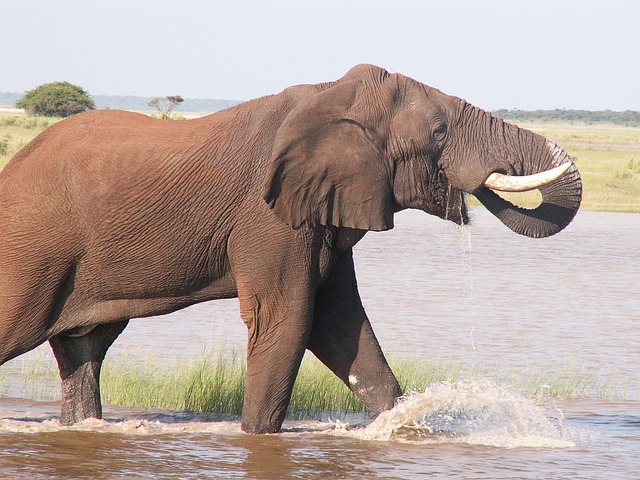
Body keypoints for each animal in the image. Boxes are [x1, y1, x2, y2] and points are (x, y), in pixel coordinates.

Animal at [0, 64, 580, 436]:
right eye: (438, 133)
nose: (472, 193)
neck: (332, 96)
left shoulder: (319, 211)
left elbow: (339, 325)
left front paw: (402, 425)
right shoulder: (269, 217)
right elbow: (289, 319)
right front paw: (257, 439)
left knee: (83, 349)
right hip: (31, 251)